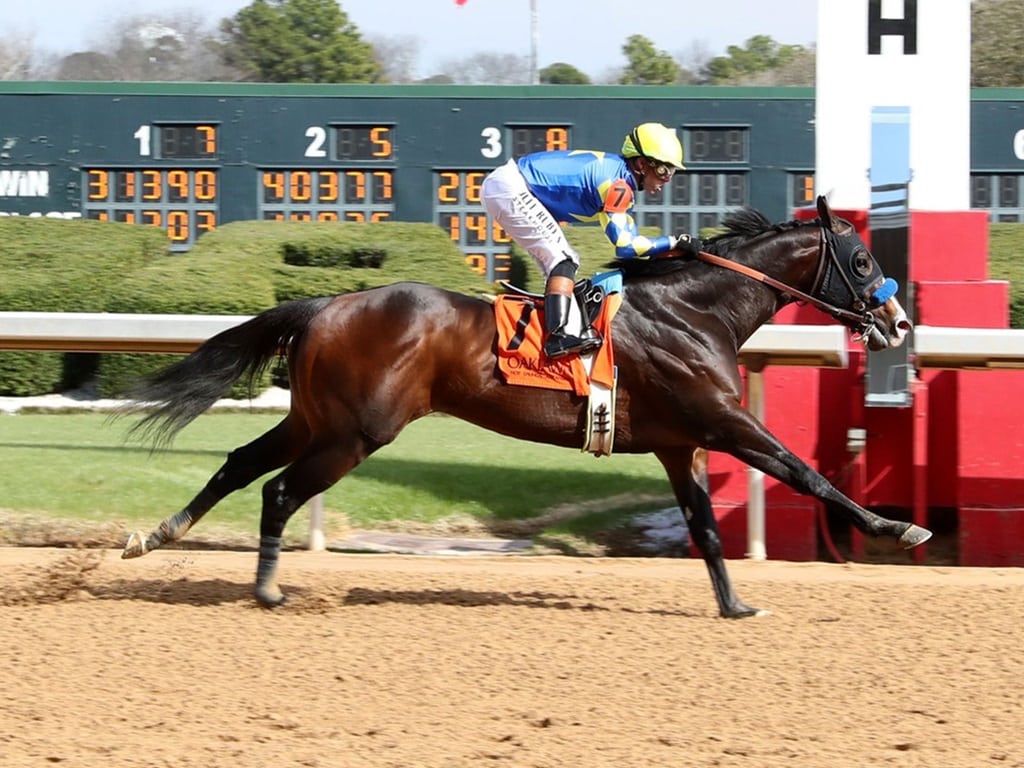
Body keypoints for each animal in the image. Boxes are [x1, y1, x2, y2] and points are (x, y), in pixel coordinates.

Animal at [119, 198, 929, 618]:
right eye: (862, 261)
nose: (898, 325)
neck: (696, 310)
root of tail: (325, 304)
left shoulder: (681, 443)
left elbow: (704, 526)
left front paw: (734, 606)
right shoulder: (726, 421)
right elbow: (804, 472)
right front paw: (897, 528)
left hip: (316, 418)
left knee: (239, 465)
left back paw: (153, 537)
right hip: (355, 432)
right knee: (281, 490)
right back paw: (266, 587)